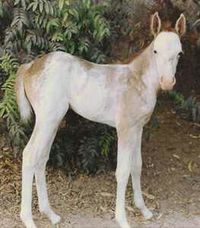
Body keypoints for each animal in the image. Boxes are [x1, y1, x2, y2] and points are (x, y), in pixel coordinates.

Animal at [15, 12, 186, 228]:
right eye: (155, 51)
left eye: (179, 53)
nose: (167, 82)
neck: (137, 81)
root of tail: (31, 66)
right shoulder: (124, 129)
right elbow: (122, 171)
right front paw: (122, 219)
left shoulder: (138, 128)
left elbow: (137, 166)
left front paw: (144, 210)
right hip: (47, 119)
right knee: (30, 155)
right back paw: (28, 219)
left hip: (52, 121)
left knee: (41, 158)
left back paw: (50, 214)